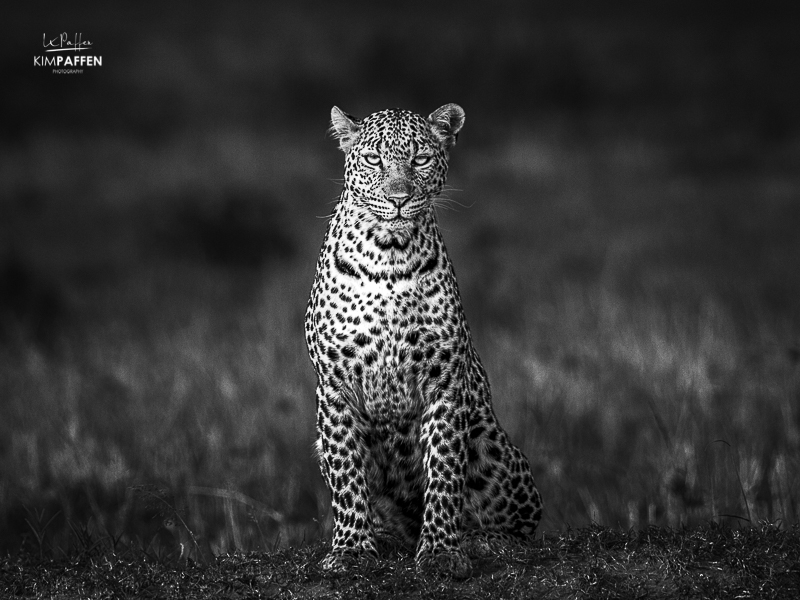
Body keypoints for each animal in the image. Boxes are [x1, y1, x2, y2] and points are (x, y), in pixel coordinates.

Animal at [306, 103, 544, 576]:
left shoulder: (445, 381)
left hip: (493, 444)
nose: (399, 198)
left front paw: (439, 550)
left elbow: (445, 469)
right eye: (373, 159)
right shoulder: (334, 386)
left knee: (523, 524)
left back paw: (481, 540)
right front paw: (350, 549)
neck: (388, 252)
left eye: (420, 159)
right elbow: (347, 474)